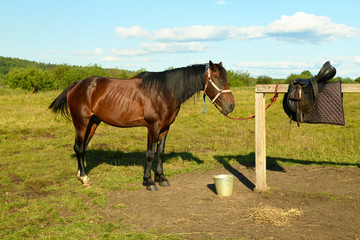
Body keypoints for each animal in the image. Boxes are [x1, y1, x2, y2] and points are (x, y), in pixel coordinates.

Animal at [49, 61, 235, 190]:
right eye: (219, 79)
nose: (231, 106)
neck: (164, 92)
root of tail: (75, 85)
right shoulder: (153, 127)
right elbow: (149, 154)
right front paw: (149, 182)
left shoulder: (165, 128)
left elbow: (160, 153)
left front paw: (161, 178)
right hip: (81, 122)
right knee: (79, 148)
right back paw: (85, 179)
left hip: (93, 123)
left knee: (82, 147)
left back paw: (80, 175)